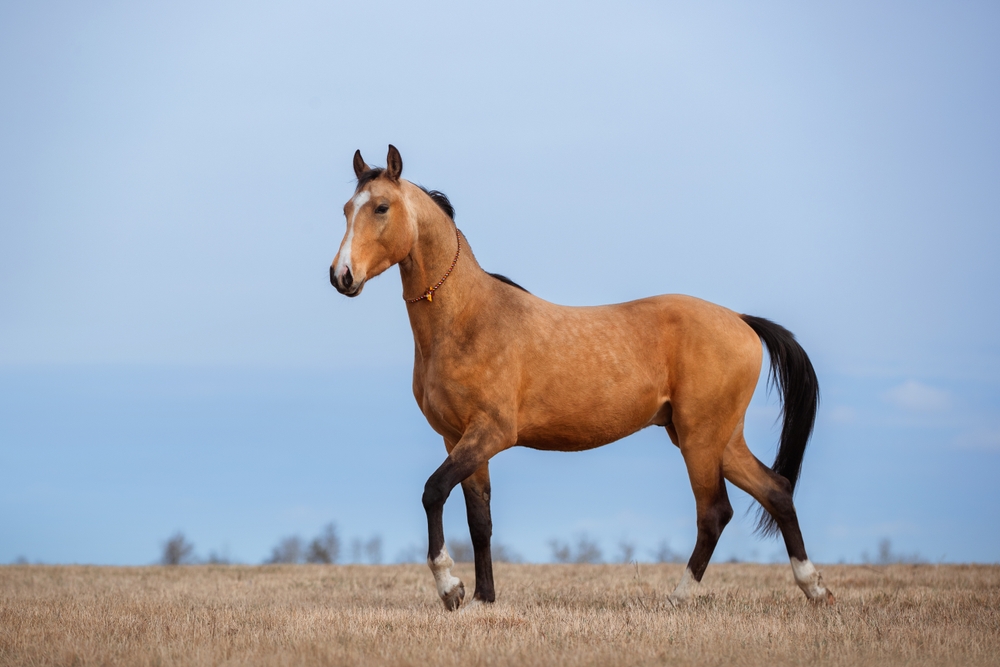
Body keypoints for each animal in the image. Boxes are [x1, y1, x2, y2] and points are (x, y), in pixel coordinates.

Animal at [332, 146, 832, 612]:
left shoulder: (490, 433)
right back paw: (815, 588)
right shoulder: (457, 438)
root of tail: (742, 321)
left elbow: (433, 492)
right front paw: (482, 598)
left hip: (700, 439)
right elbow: (480, 520)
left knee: (714, 512)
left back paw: (678, 598)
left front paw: (450, 588)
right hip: (718, 438)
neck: (469, 319)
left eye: (381, 207)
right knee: (776, 491)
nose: (342, 276)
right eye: (346, 208)